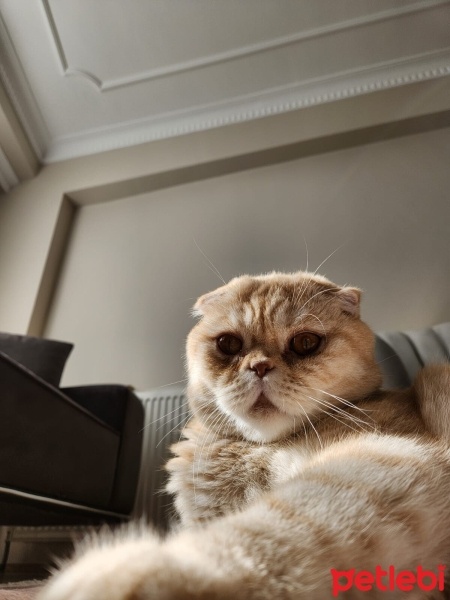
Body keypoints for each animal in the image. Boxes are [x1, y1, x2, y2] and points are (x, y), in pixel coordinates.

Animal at [39, 274, 450, 600]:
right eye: (229, 344)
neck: (255, 450)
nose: (259, 367)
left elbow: (264, 535)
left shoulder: (379, 458)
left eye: (305, 343)